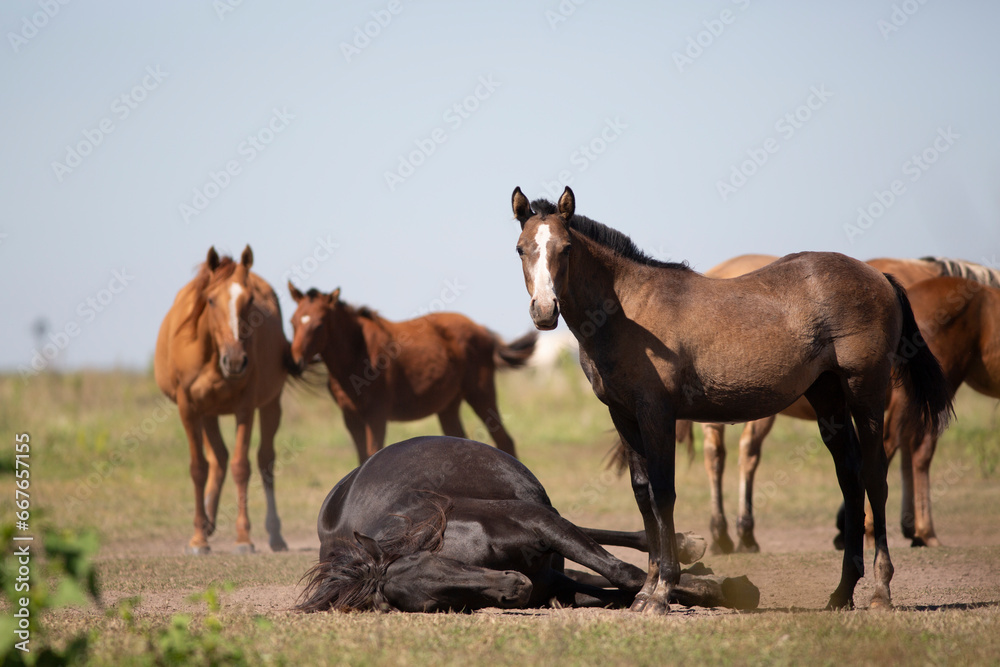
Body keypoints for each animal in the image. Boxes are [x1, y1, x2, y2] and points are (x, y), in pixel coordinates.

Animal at [154, 248, 296, 556]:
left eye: (251, 300)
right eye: (210, 300)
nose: (235, 360)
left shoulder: (245, 407)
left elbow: (242, 467)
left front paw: (243, 538)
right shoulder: (189, 408)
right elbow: (198, 468)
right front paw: (198, 538)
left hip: (271, 406)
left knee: (264, 460)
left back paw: (276, 536)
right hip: (208, 413)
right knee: (217, 459)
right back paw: (207, 523)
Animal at [290, 284, 540, 462]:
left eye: (319, 324)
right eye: (293, 321)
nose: (295, 363)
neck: (357, 353)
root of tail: (483, 331)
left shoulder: (376, 415)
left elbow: (372, 454)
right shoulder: (350, 417)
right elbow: (362, 458)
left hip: (481, 394)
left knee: (505, 441)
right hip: (449, 405)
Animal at [292, 438, 748, 616]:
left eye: (438, 567)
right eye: (439, 603)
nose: (516, 588)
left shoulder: (541, 523)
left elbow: (623, 571)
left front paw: (712, 589)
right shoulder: (557, 583)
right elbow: (617, 587)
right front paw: (692, 592)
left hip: (539, 508)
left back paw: (689, 546)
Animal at [512, 188, 948, 616]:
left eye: (566, 248)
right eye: (521, 248)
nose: (545, 311)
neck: (627, 311)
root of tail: (880, 277)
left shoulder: (657, 413)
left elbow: (663, 493)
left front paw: (662, 592)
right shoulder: (624, 416)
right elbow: (642, 493)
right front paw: (645, 591)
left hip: (866, 393)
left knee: (875, 477)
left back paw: (881, 591)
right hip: (828, 397)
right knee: (850, 477)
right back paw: (841, 593)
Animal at [692, 254, 1000, 552]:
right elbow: (911, 453)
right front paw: (912, 530)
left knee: (715, 454)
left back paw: (723, 535)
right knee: (749, 453)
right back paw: (745, 534)